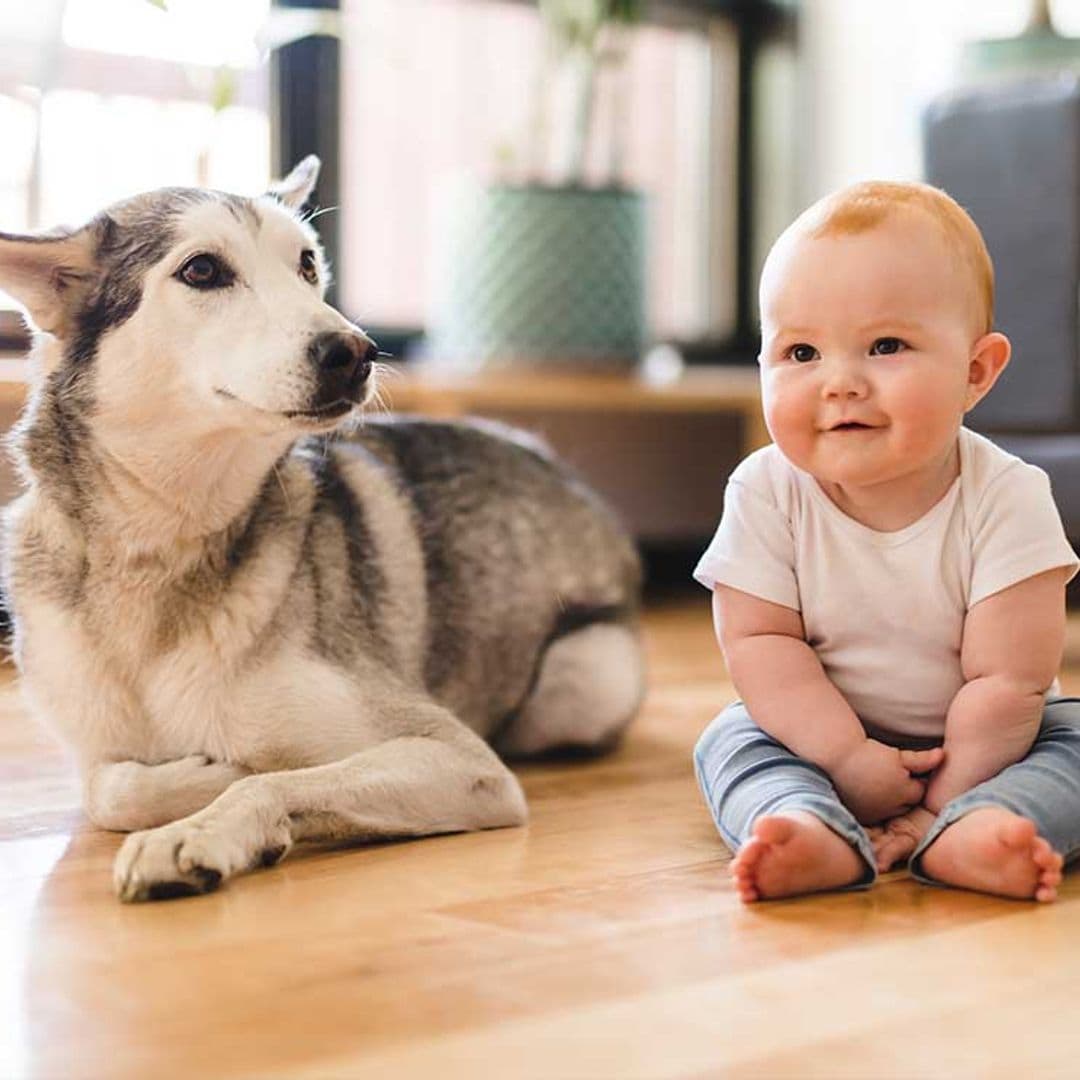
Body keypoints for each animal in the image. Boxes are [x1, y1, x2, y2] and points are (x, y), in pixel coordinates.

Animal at [0, 157, 639, 902]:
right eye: (202, 271)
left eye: (307, 265)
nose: (356, 351)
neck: (165, 544)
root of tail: (549, 456)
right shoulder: (96, 750)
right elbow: (111, 787)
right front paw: (203, 779)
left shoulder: (461, 760)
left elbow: (272, 779)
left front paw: (203, 820)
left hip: (585, 678)